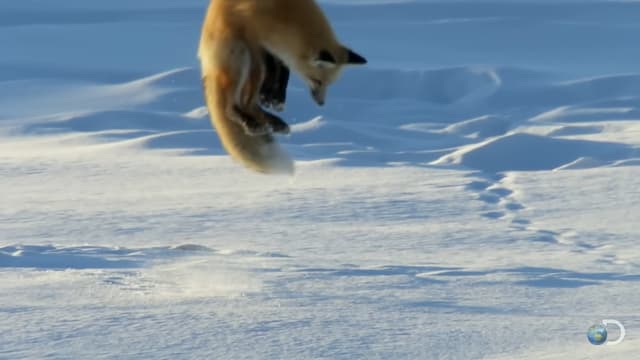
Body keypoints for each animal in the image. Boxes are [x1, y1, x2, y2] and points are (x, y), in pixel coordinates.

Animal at [200, 0, 368, 174]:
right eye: (316, 80)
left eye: (328, 84)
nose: (321, 103)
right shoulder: (254, 36)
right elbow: (272, 63)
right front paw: (271, 96)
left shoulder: (274, 47)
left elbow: (283, 69)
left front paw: (275, 97)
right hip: (243, 58)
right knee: (232, 107)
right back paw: (252, 124)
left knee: (249, 105)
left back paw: (273, 123)